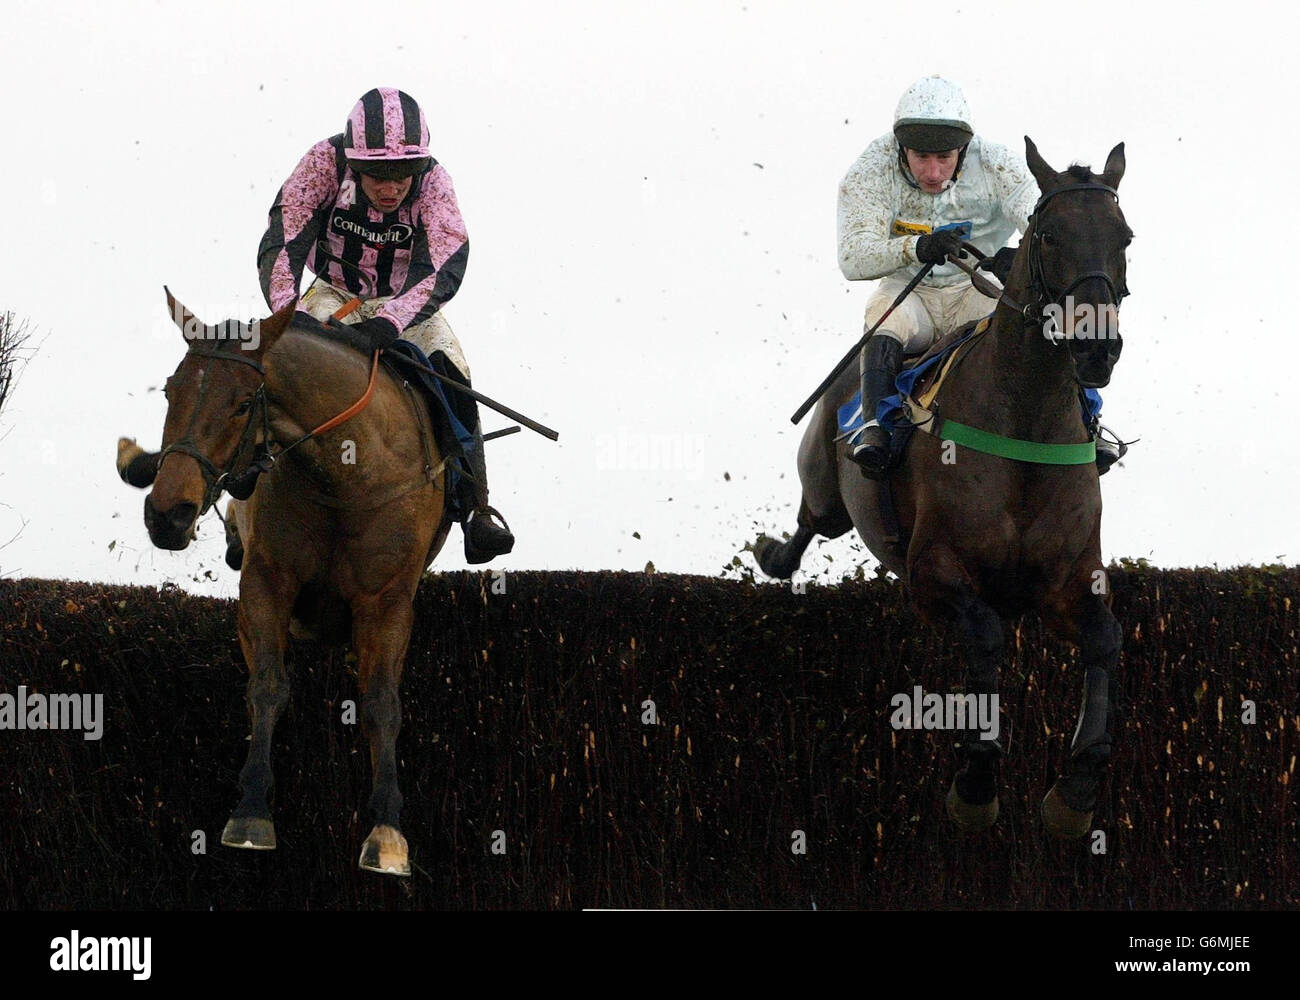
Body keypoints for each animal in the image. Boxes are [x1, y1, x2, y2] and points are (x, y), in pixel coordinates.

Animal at [119, 291, 452, 873]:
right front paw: (251, 812)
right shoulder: (266, 581)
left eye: (240, 403)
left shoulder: (388, 600)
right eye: (170, 391)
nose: (167, 514)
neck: (345, 475)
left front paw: (387, 832)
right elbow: (268, 685)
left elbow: (381, 702)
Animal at [759, 138, 1133, 832]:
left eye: (1124, 236)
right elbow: (985, 633)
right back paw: (774, 553)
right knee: (809, 520)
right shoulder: (932, 576)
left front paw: (1074, 790)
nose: (1097, 347)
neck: (1024, 420)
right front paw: (977, 782)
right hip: (828, 486)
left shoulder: (1069, 579)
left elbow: (1106, 638)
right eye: (1049, 235)